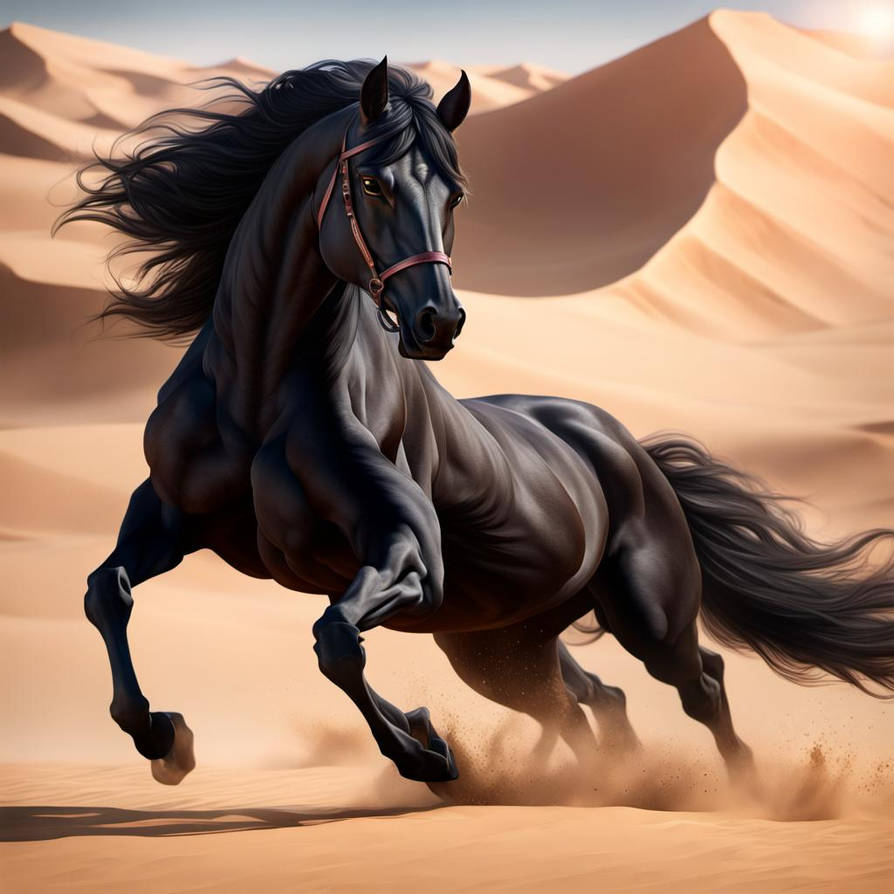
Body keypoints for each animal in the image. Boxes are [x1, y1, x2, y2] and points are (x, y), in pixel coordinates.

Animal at [59, 58, 894, 789]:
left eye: (456, 196)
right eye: (372, 183)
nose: (439, 322)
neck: (258, 394)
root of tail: (627, 446)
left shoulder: (409, 556)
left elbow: (336, 643)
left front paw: (425, 752)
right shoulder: (170, 517)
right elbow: (107, 594)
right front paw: (166, 739)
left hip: (644, 615)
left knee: (698, 684)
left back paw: (746, 794)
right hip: (499, 644)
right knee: (590, 701)